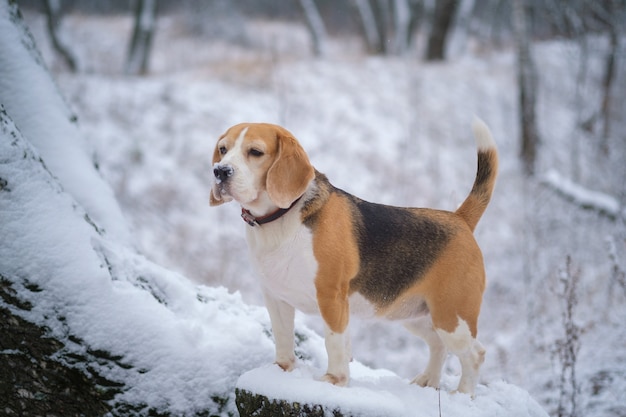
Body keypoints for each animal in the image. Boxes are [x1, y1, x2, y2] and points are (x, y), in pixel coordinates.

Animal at [211, 119, 498, 394]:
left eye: (255, 152)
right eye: (223, 149)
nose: (220, 171)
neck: (282, 217)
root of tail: (459, 218)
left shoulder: (331, 296)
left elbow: (334, 342)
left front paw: (334, 381)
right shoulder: (275, 296)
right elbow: (283, 336)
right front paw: (282, 370)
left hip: (452, 317)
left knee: (475, 355)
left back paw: (462, 395)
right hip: (416, 315)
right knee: (439, 345)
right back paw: (428, 382)